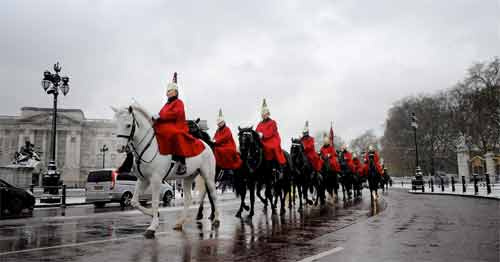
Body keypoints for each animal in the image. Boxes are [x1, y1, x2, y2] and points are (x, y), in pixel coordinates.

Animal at [113, 103, 219, 238]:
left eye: (128, 125)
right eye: (116, 125)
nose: (119, 148)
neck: (148, 147)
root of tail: (205, 144)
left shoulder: (156, 179)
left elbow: (154, 202)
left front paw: (152, 227)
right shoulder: (143, 180)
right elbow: (134, 202)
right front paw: (154, 214)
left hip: (208, 177)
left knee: (214, 195)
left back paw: (216, 219)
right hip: (187, 178)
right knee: (188, 199)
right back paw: (180, 223)